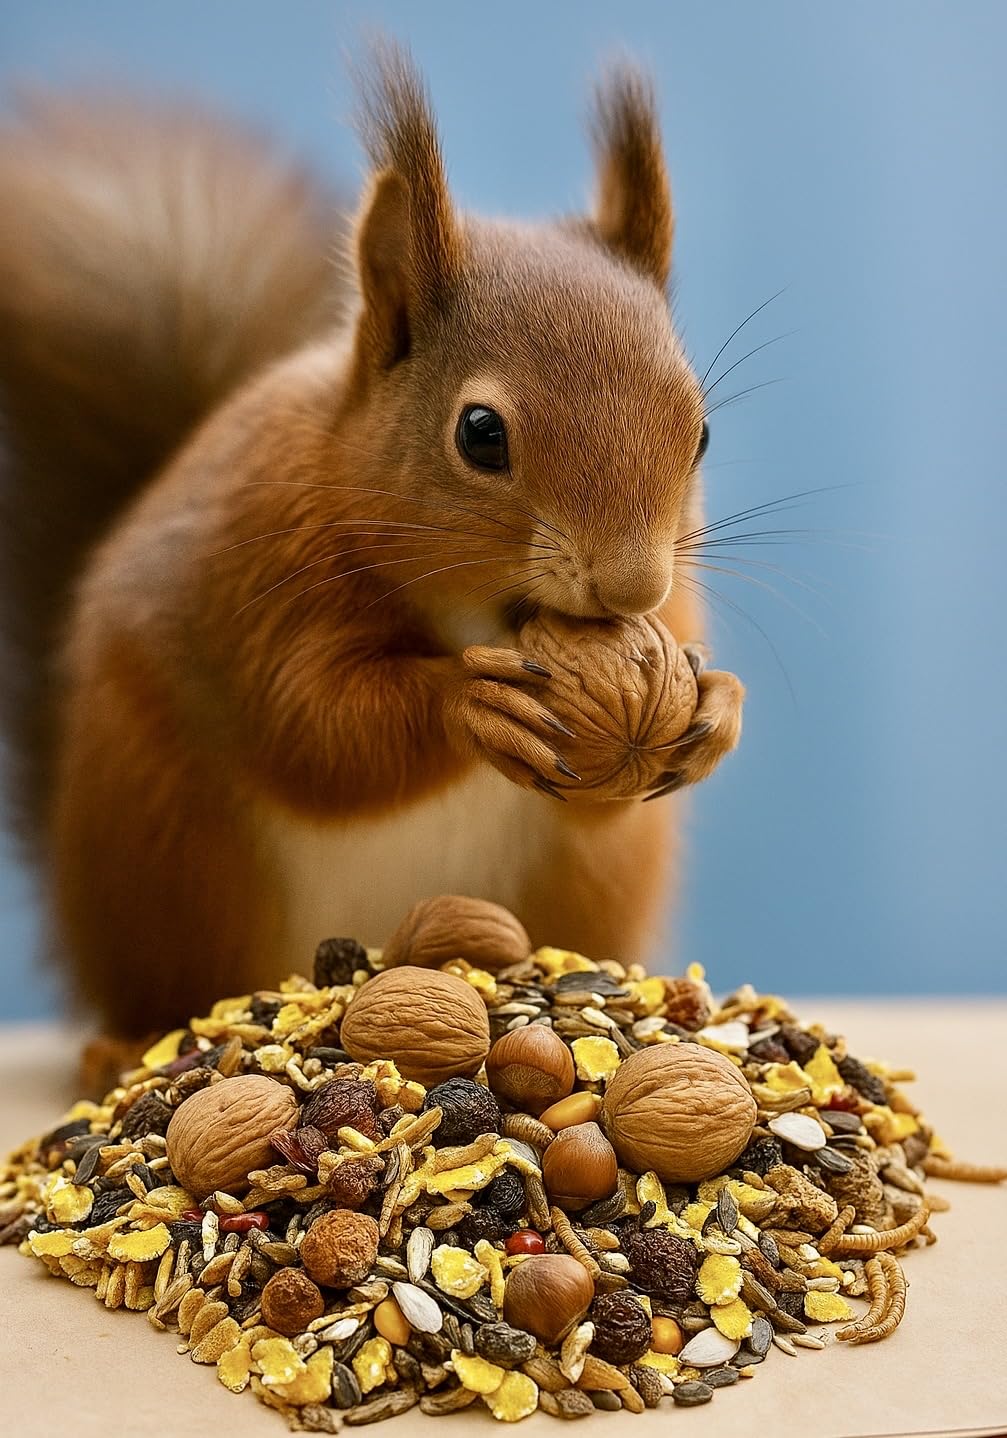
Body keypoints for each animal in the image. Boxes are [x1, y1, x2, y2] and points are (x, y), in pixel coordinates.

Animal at [0, 50, 744, 1044]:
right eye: (480, 434)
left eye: (700, 432)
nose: (631, 590)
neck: (480, 620)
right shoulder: (262, 576)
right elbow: (312, 726)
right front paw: (471, 703)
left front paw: (714, 703)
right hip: (172, 862)